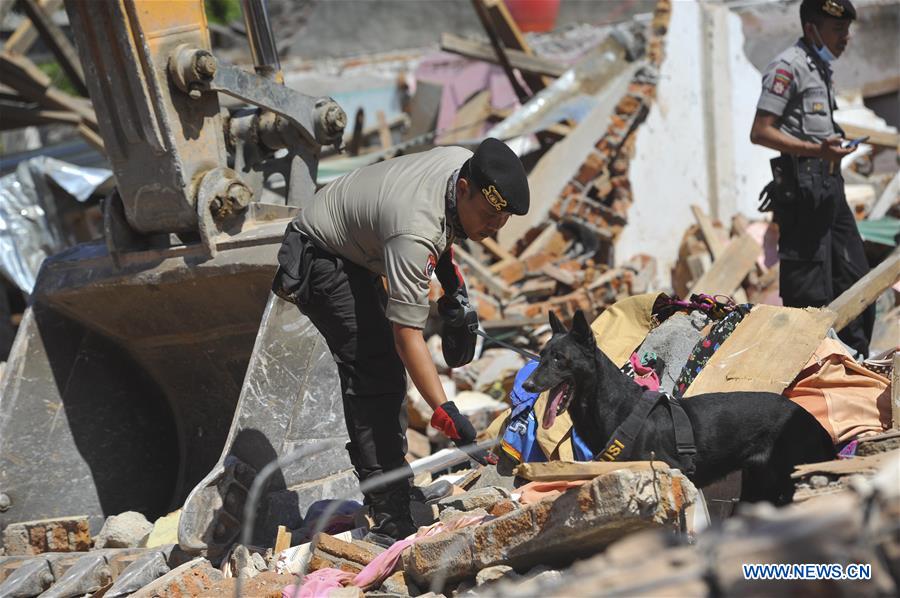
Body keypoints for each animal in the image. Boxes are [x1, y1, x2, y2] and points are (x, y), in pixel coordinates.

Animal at [520, 312, 836, 504]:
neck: (615, 408)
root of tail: (813, 422)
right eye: (542, 356)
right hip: (760, 485)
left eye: (560, 358)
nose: (527, 385)